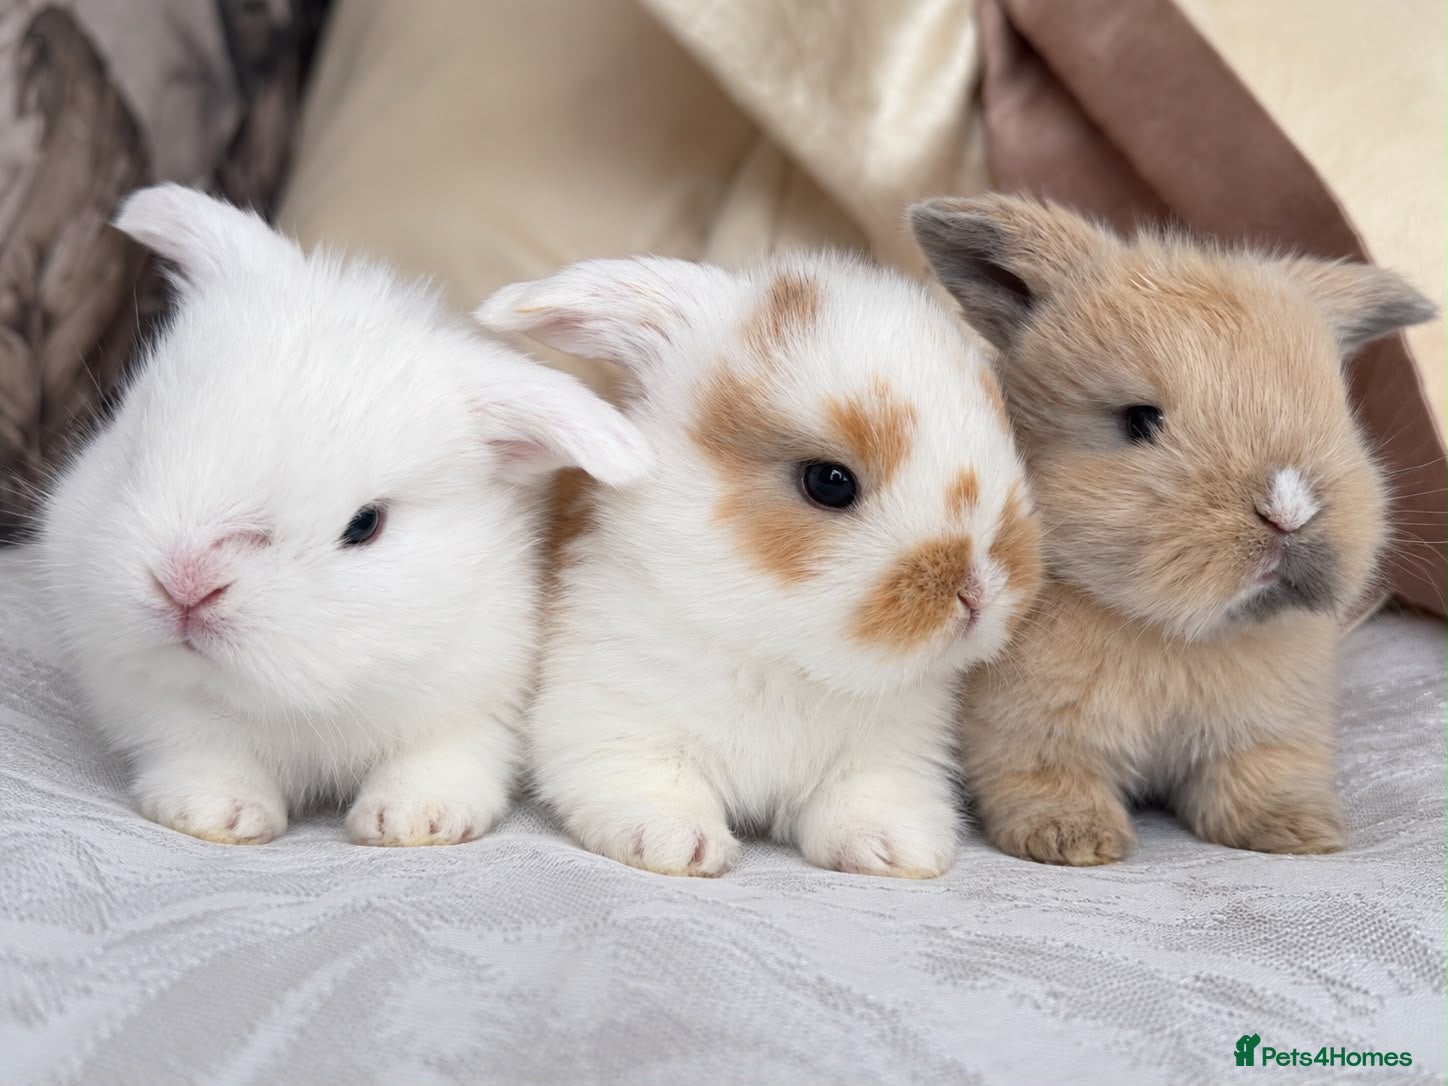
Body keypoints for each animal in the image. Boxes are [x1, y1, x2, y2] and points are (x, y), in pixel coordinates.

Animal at [39, 184, 650, 847]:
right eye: (134, 448)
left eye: (365, 525)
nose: (186, 584)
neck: (311, 707)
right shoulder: (164, 709)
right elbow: (206, 753)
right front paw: (215, 814)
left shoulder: (475, 702)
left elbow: (442, 758)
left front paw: (417, 819)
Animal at [476, 251, 1042, 878]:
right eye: (829, 481)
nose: (980, 593)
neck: (781, 657)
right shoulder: (611, 722)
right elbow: (653, 784)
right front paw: (678, 843)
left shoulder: (889, 755)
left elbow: (866, 799)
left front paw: (896, 851)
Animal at [910, 193, 1437, 866]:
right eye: (1140, 421)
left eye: (1338, 410)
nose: (1289, 510)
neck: (1174, 636)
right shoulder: (1025, 734)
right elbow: (1045, 778)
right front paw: (1074, 840)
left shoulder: (1268, 731)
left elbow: (1262, 777)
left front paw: (1300, 833)